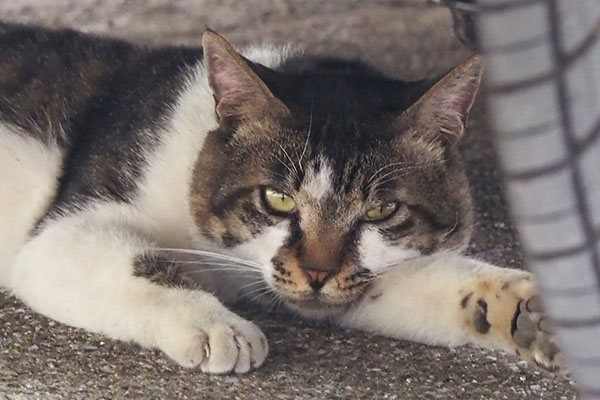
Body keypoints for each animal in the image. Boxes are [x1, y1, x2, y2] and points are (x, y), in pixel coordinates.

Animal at [1, 24, 564, 376]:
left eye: (382, 210)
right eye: (278, 199)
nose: (317, 272)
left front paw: (529, 311)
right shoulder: (64, 233)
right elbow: (142, 261)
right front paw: (218, 325)